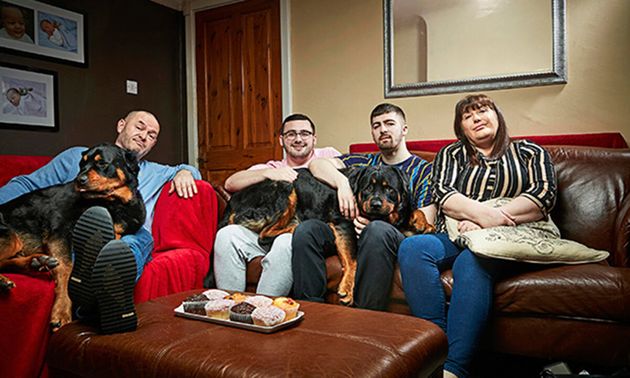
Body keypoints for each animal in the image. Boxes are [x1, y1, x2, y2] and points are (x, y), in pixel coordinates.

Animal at [0, 144, 146, 330]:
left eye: (102, 163)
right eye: (81, 164)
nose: (79, 180)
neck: (112, 202)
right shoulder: (59, 233)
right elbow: (67, 268)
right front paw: (62, 311)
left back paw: (37, 262)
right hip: (10, 236)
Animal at [221, 165, 434, 304]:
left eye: (389, 188)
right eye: (367, 188)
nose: (375, 204)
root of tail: (232, 202)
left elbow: (416, 211)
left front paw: (424, 223)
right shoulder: (343, 224)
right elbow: (353, 259)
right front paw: (347, 288)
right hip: (286, 188)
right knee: (264, 234)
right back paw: (297, 225)